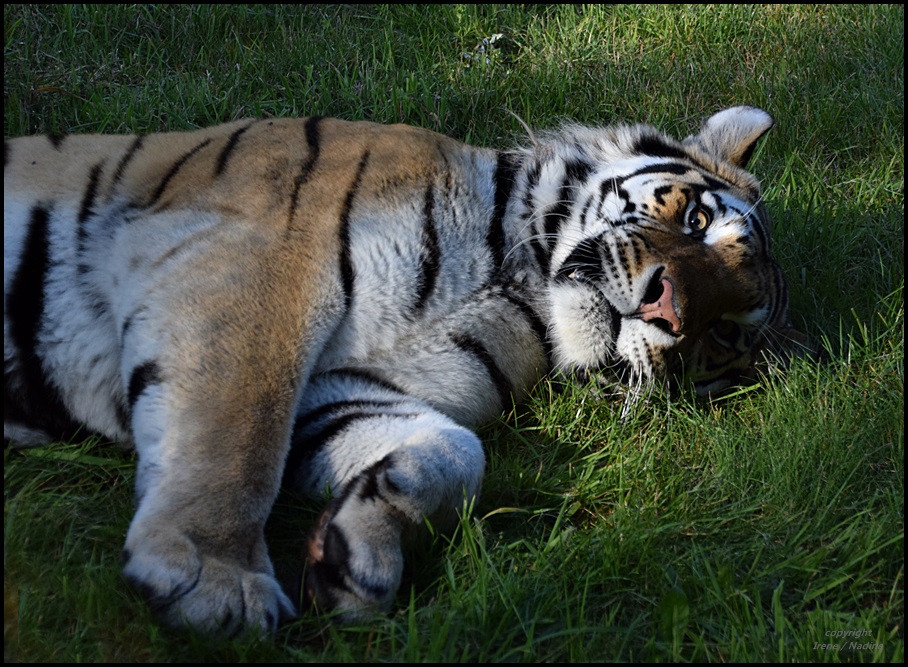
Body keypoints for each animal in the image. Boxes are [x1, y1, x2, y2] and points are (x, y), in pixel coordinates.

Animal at [5, 107, 800, 636]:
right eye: (698, 221)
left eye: (724, 332)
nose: (669, 309)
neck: (517, 287)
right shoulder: (256, 266)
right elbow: (237, 435)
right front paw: (218, 581)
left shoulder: (348, 387)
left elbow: (456, 450)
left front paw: (355, 551)